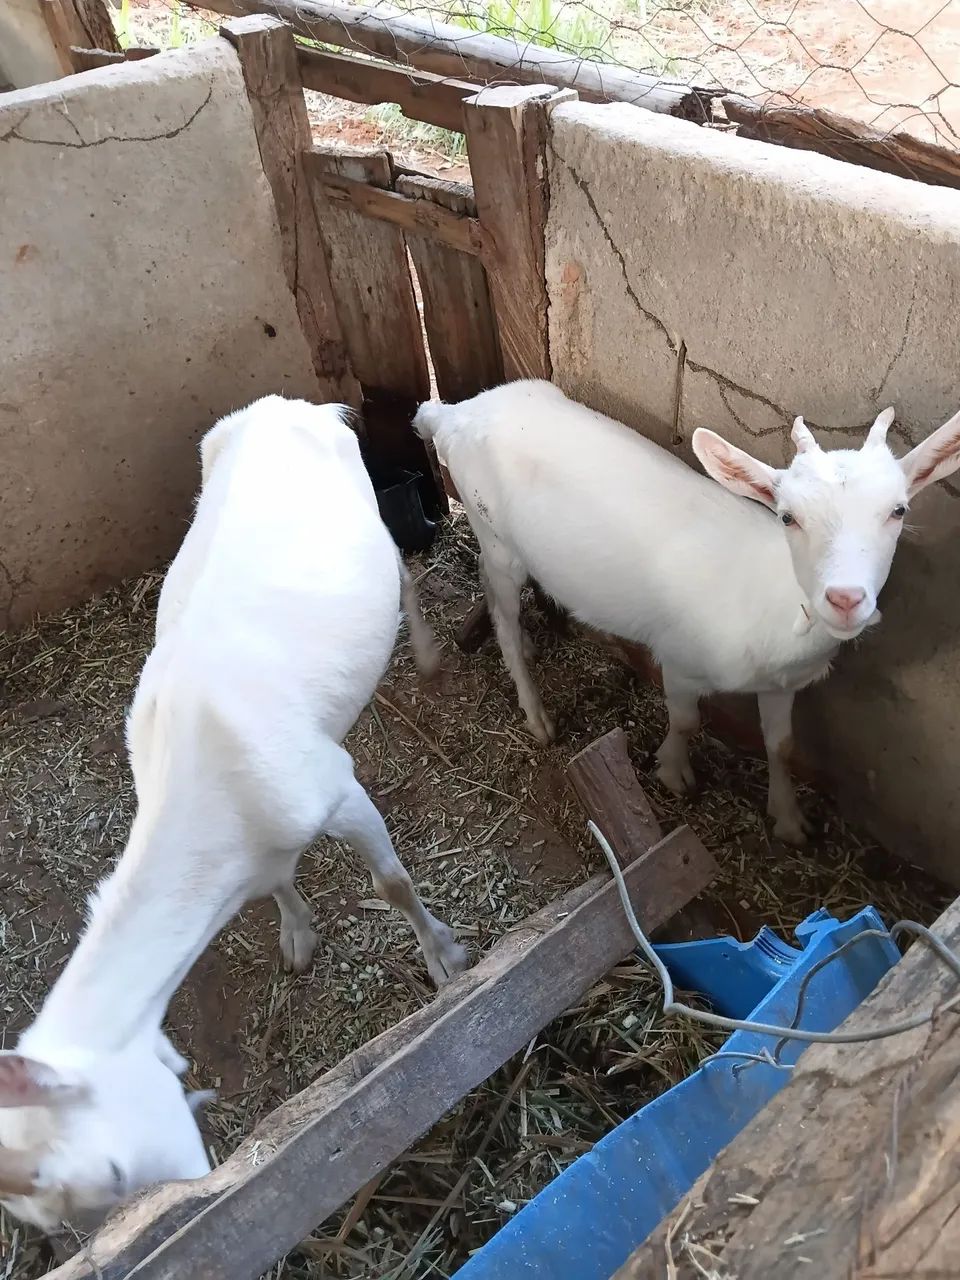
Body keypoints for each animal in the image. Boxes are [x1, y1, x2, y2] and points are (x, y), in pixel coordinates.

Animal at [0, 395, 466, 1233]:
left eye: (109, 1172)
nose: (194, 1183)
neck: (206, 795)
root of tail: (295, 405)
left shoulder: (337, 787)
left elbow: (392, 883)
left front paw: (446, 959)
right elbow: (276, 885)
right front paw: (297, 936)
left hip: (370, 512)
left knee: (403, 571)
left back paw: (426, 651)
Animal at [415, 379, 960, 845]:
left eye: (899, 510)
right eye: (788, 516)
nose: (845, 599)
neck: (766, 596)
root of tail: (451, 413)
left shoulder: (780, 684)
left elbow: (780, 744)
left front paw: (789, 820)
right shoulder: (679, 658)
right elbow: (684, 721)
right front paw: (673, 772)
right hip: (495, 536)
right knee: (502, 613)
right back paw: (537, 715)